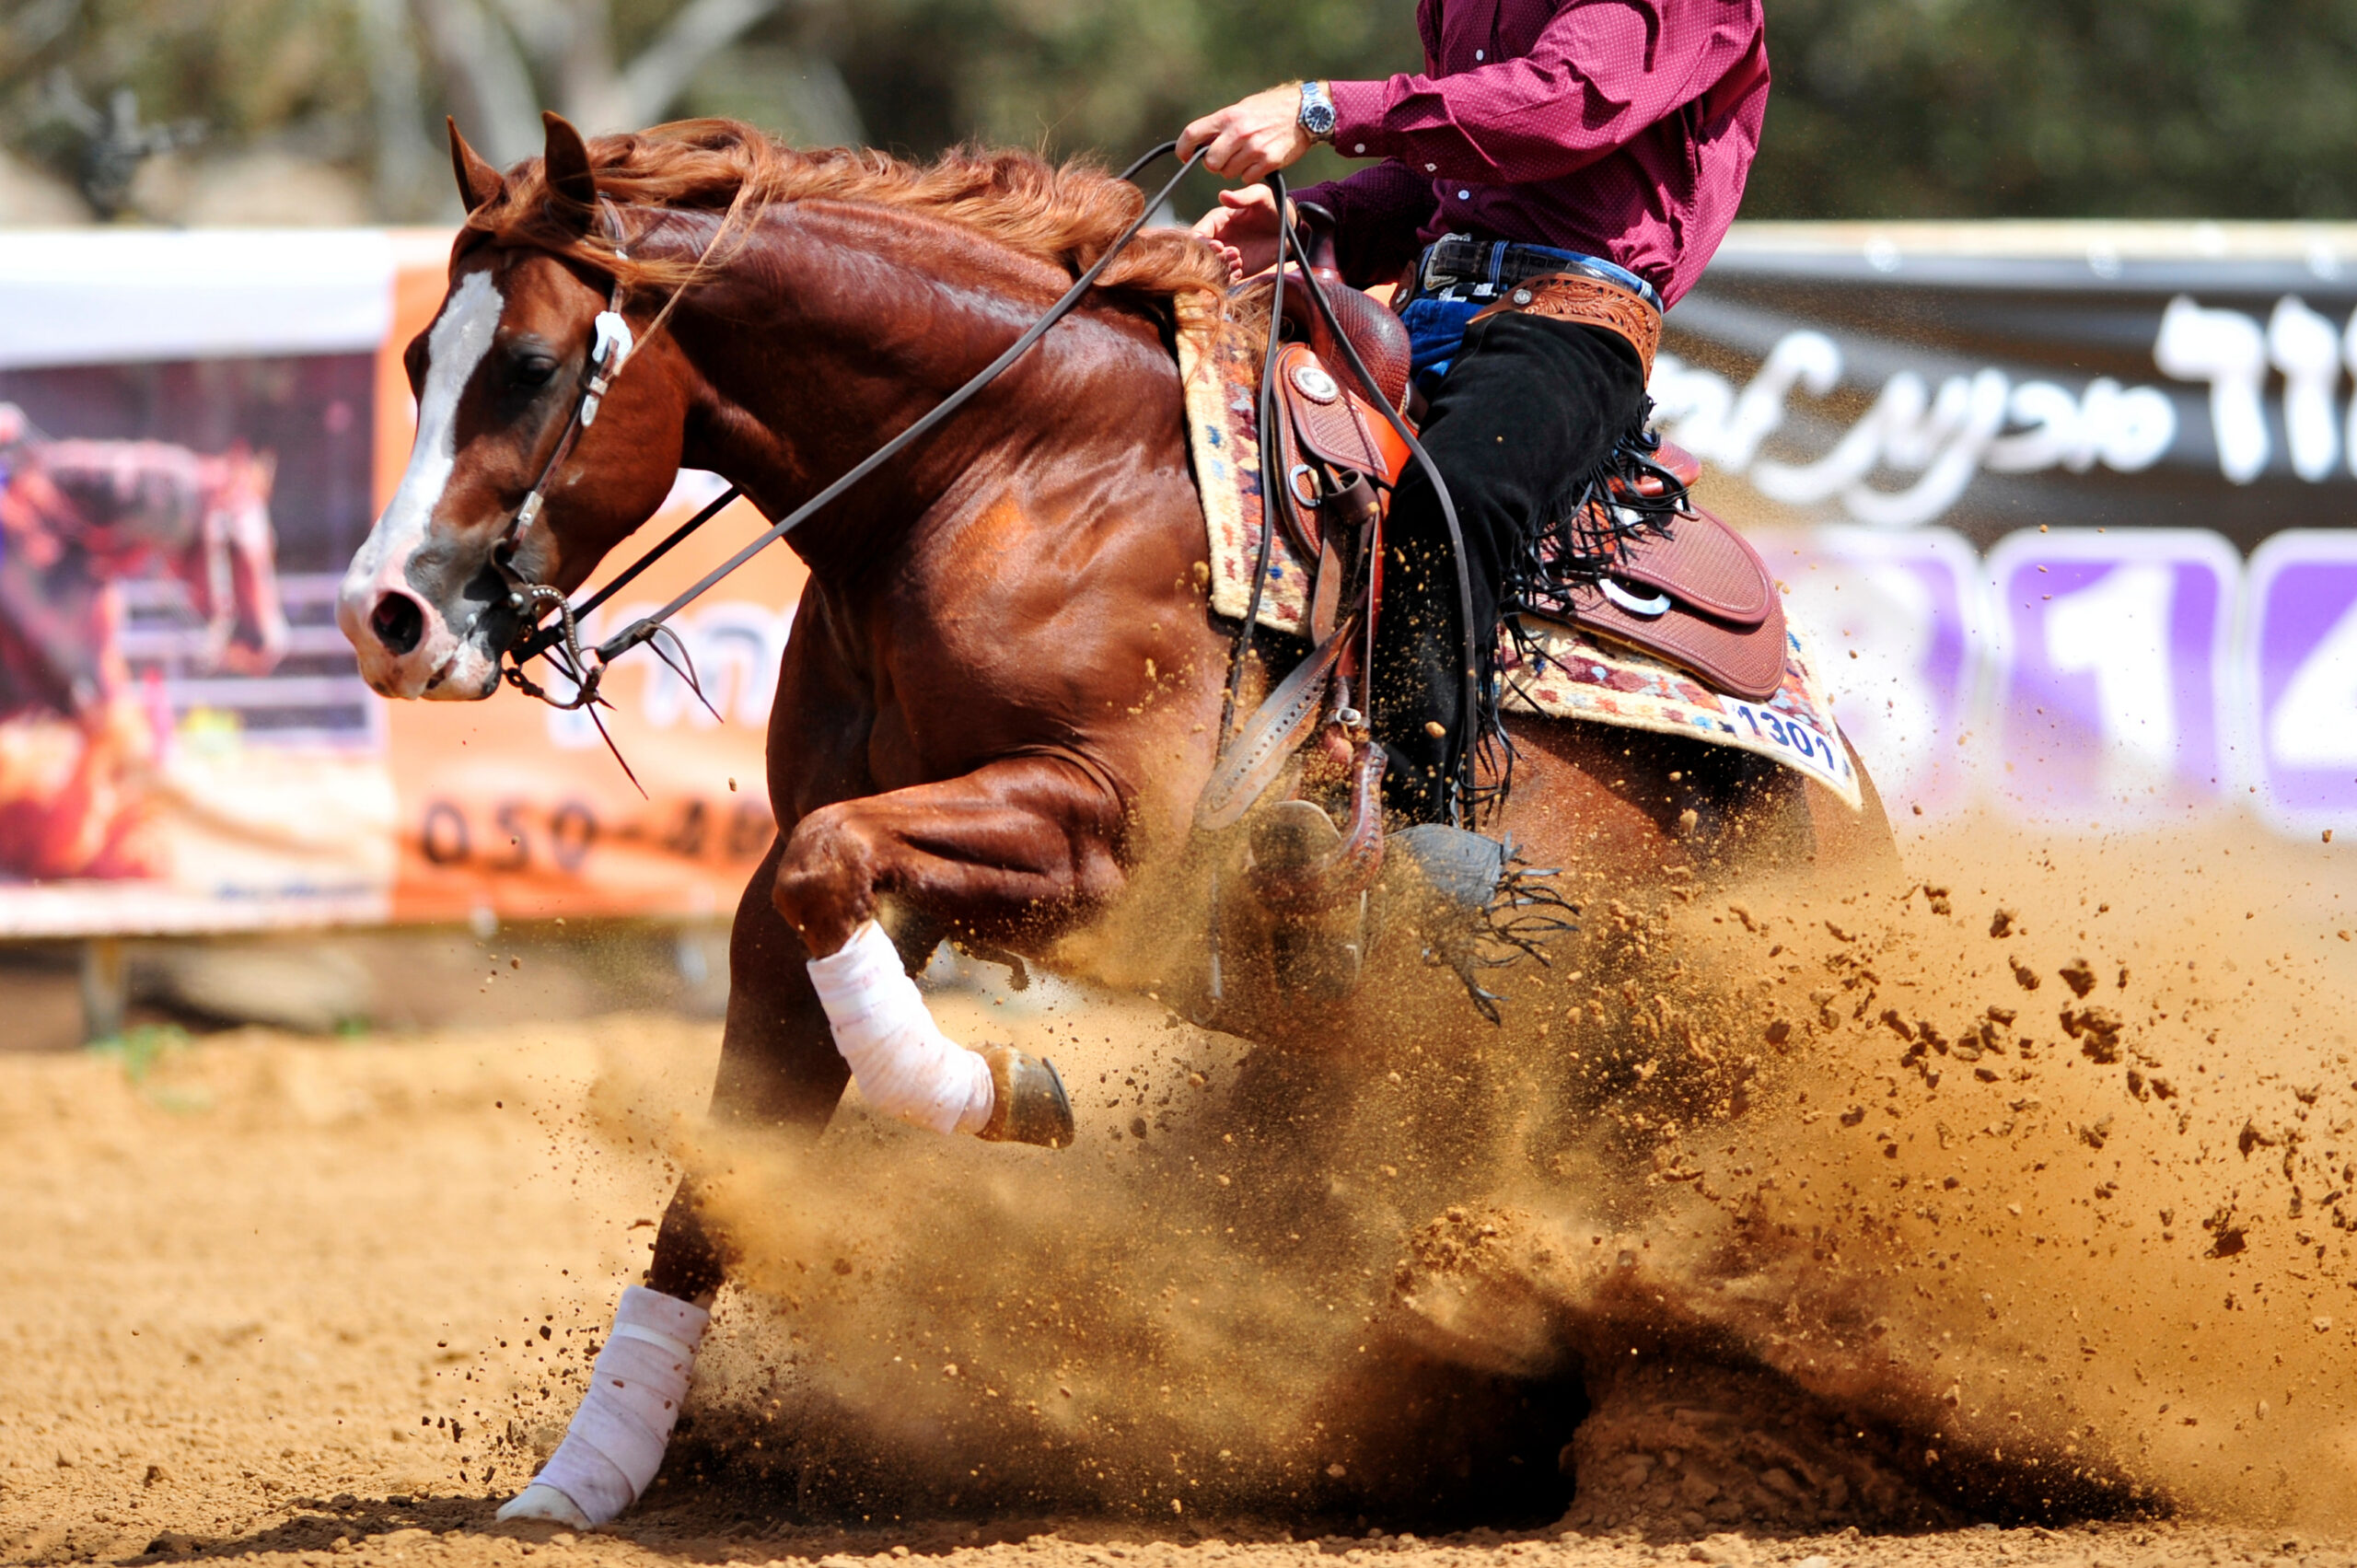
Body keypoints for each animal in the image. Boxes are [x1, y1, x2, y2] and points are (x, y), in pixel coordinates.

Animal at [0, 423, 285, 879]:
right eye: (232, 543)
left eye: (269, 541)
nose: (268, 642)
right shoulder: (54, 677)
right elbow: (111, 728)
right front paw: (65, 838)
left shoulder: (93, 667)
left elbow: (117, 727)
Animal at [336, 115, 1894, 1528]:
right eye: (415, 364)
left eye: (531, 366)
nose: (384, 615)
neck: (1012, 467)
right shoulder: (815, 869)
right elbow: (730, 1145)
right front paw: (585, 1474)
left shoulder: (1100, 841)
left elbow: (836, 884)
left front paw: (994, 1086)